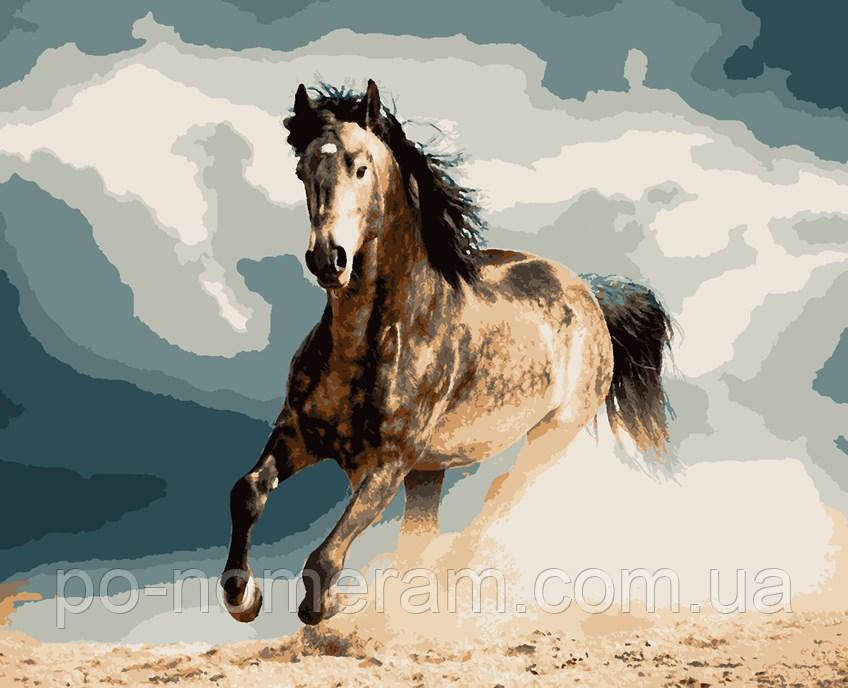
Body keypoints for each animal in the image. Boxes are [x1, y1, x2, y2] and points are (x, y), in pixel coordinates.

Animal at [221, 79, 674, 626]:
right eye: (302, 170)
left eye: (361, 166)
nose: (328, 258)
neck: (372, 340)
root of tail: (588, 292)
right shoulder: (299, 435)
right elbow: (247, 491)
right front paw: (243, 596)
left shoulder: (388, 464)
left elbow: (325, 559)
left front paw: (329, 603)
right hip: (430, 472)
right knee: (424, 536)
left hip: (548, 437)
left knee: (492, 505)